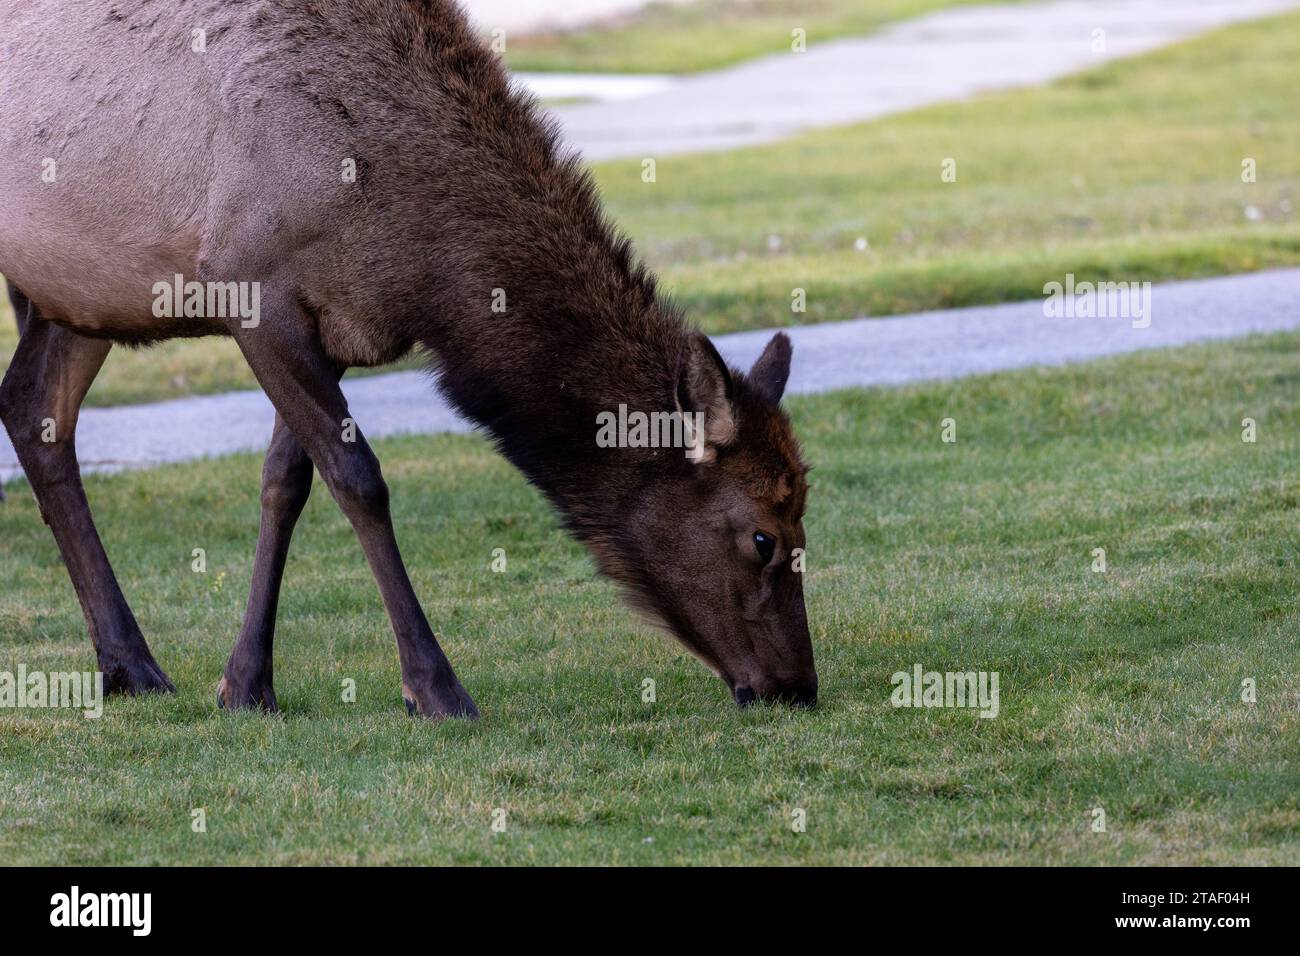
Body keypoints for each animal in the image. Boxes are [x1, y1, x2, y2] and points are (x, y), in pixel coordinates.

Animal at [0, 0, 811, 717]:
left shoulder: (332, 322)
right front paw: (434, 688)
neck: (413, 250)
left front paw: (246, 683)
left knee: (32, 404)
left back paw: (129, 664)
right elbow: (357, 478)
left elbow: (286, 481)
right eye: (763, 539)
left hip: (77, 292)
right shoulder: (250, 287)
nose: (797, 686)